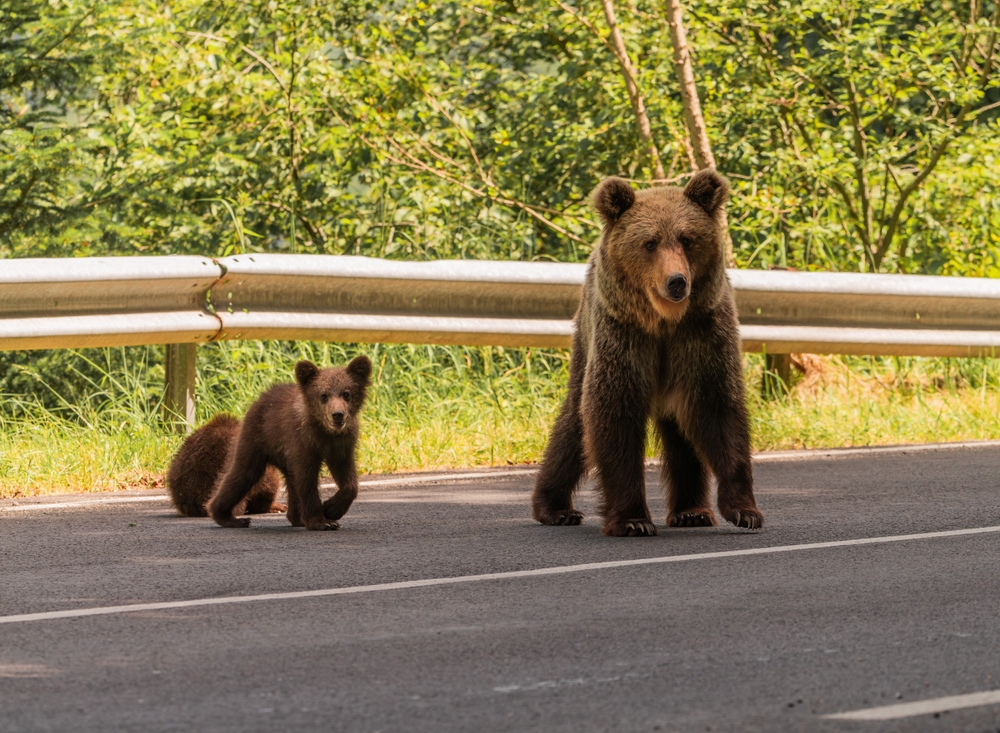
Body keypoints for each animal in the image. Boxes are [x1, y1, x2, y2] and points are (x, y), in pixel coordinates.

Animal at [536, 172, 760, 536]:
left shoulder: (702, 334)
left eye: (687, 239)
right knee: (574, 423)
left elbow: (718, 407)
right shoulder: (625, 335)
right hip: (587, 336)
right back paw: (554, 508)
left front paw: (745, 511)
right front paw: (633, 519)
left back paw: (691, 511)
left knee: (681, 432)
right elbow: (614, 412)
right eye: (650, 243)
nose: (676, 282)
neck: (664, 322)